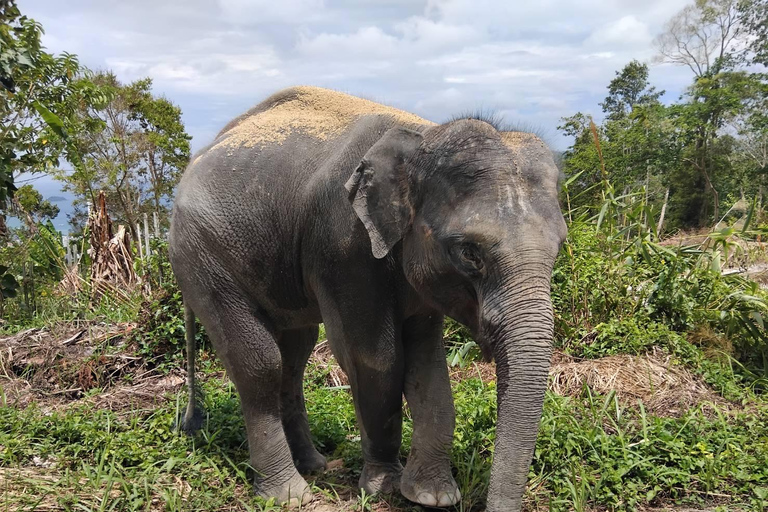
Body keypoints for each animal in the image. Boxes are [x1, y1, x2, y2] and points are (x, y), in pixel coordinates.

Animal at [168, 86, 566, 512]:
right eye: (469, 252)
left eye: (560, 246)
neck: (425, 134)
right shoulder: (343, 246)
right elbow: (375, 358)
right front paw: (383, 488)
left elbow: (428, 363)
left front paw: (432, 495)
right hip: (202, 258)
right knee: (259, 364)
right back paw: (290, 494)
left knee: (295, 356)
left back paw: (315, 465)